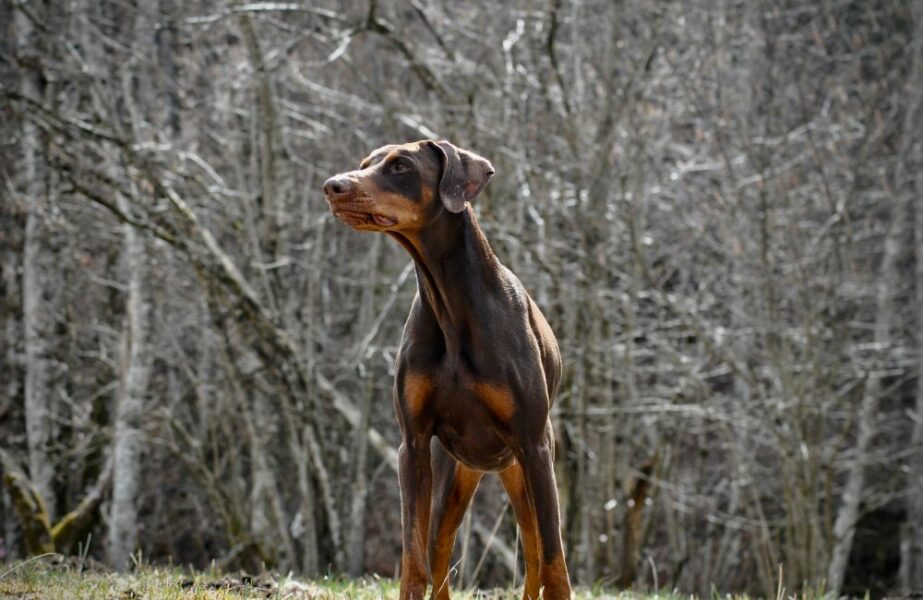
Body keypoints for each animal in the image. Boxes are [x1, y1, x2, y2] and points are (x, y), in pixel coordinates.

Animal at [324, 142, 572, 600]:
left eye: (401, 166)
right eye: (366, 164)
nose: (333, 186)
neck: (451, 303)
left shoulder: (534, 446)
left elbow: (553, 561)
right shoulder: (414, 445)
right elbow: (414, 558)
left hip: (523, 469)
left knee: (533, 549)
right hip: (452, 477)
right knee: (440, 550)